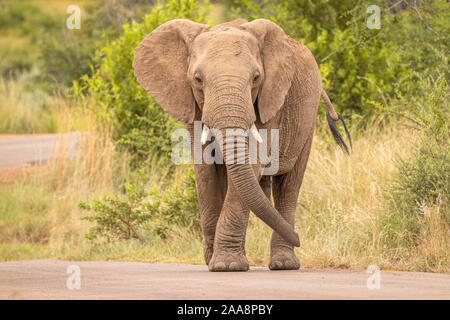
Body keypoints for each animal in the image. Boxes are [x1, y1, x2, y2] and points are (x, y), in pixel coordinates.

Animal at [132, 18, 350, 272]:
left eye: (256, 78)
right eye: (197, 79)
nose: (300, 239)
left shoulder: (269, 102)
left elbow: (252, 163)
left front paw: (227, 265)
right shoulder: (193, 107)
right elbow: (205, 171)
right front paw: (214, 261)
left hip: (307, 119)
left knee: (288, 185)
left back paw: (283, 263)